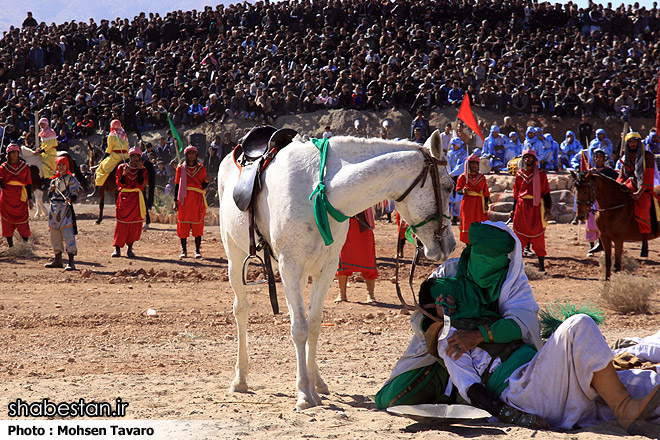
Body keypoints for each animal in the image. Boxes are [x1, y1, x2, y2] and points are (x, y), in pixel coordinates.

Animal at [217, 129, 454, 410]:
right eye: (449, 186)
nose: (450, 244)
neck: (319, 191)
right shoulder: (290, 266)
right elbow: (299, 328)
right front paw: (303, 393)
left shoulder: (326, 269)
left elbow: (313, 324)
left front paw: (312, 386)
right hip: (235, 255)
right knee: (241, 310)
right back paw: (240, 379)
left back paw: (317, 381)